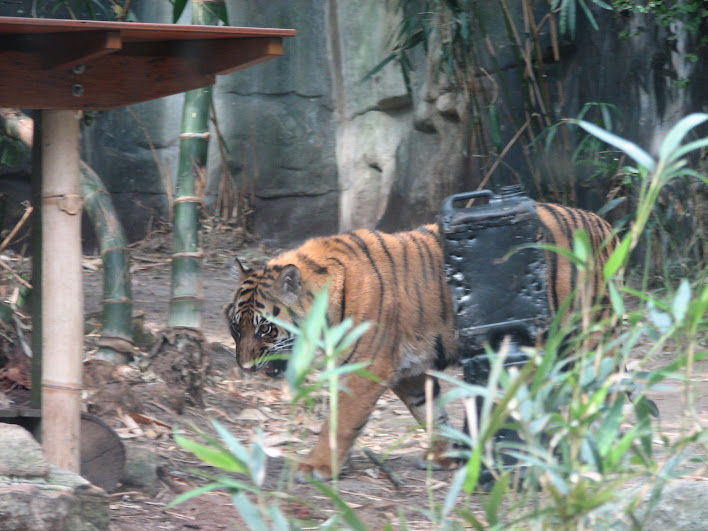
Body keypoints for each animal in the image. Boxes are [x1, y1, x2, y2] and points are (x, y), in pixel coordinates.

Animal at [225, 203, 617, 481]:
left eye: (266, 329)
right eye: (234, 328)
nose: (244, 367)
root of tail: (604, 224)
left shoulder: (365, 370)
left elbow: (339, 421)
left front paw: (315, 467)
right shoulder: (409, 372)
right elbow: (430, 412)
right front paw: (445, 456)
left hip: (588, 340)